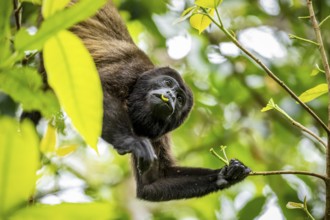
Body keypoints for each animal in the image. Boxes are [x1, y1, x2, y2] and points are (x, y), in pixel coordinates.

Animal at [58, 0, 250, 202]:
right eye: (167, 82)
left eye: (180, 99)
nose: (171, 95)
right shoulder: (129, 70)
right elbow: (99, 91)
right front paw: (132, 141)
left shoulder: (159, 136)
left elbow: (153, 181)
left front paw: (227, 173)